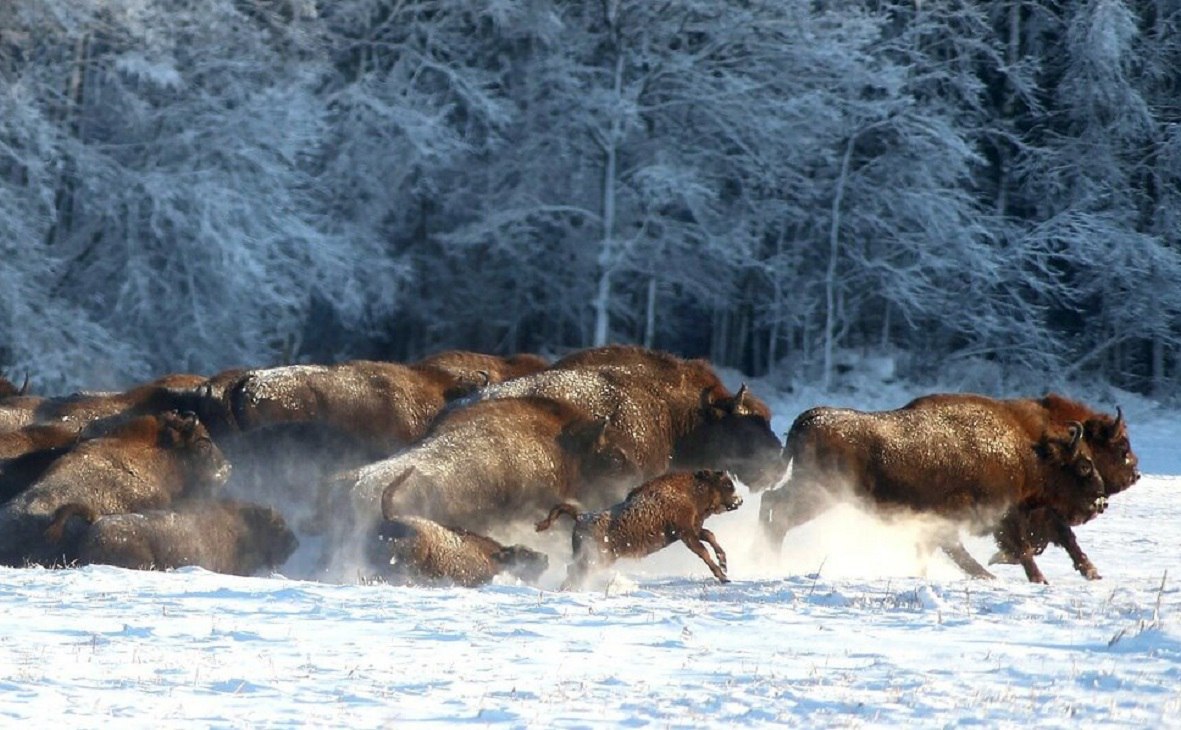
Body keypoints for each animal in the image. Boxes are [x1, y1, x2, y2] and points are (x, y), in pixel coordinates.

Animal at [538, 470, 741, 588]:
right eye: (727, 484)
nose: (740, 501)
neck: (688, 492)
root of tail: (581, 517)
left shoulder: (692, 529)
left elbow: (710, 536)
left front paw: (724, 564)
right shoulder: (685, 533)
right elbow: (703, 551)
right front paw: (723, 576)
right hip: (597, 558)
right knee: (574, 570)